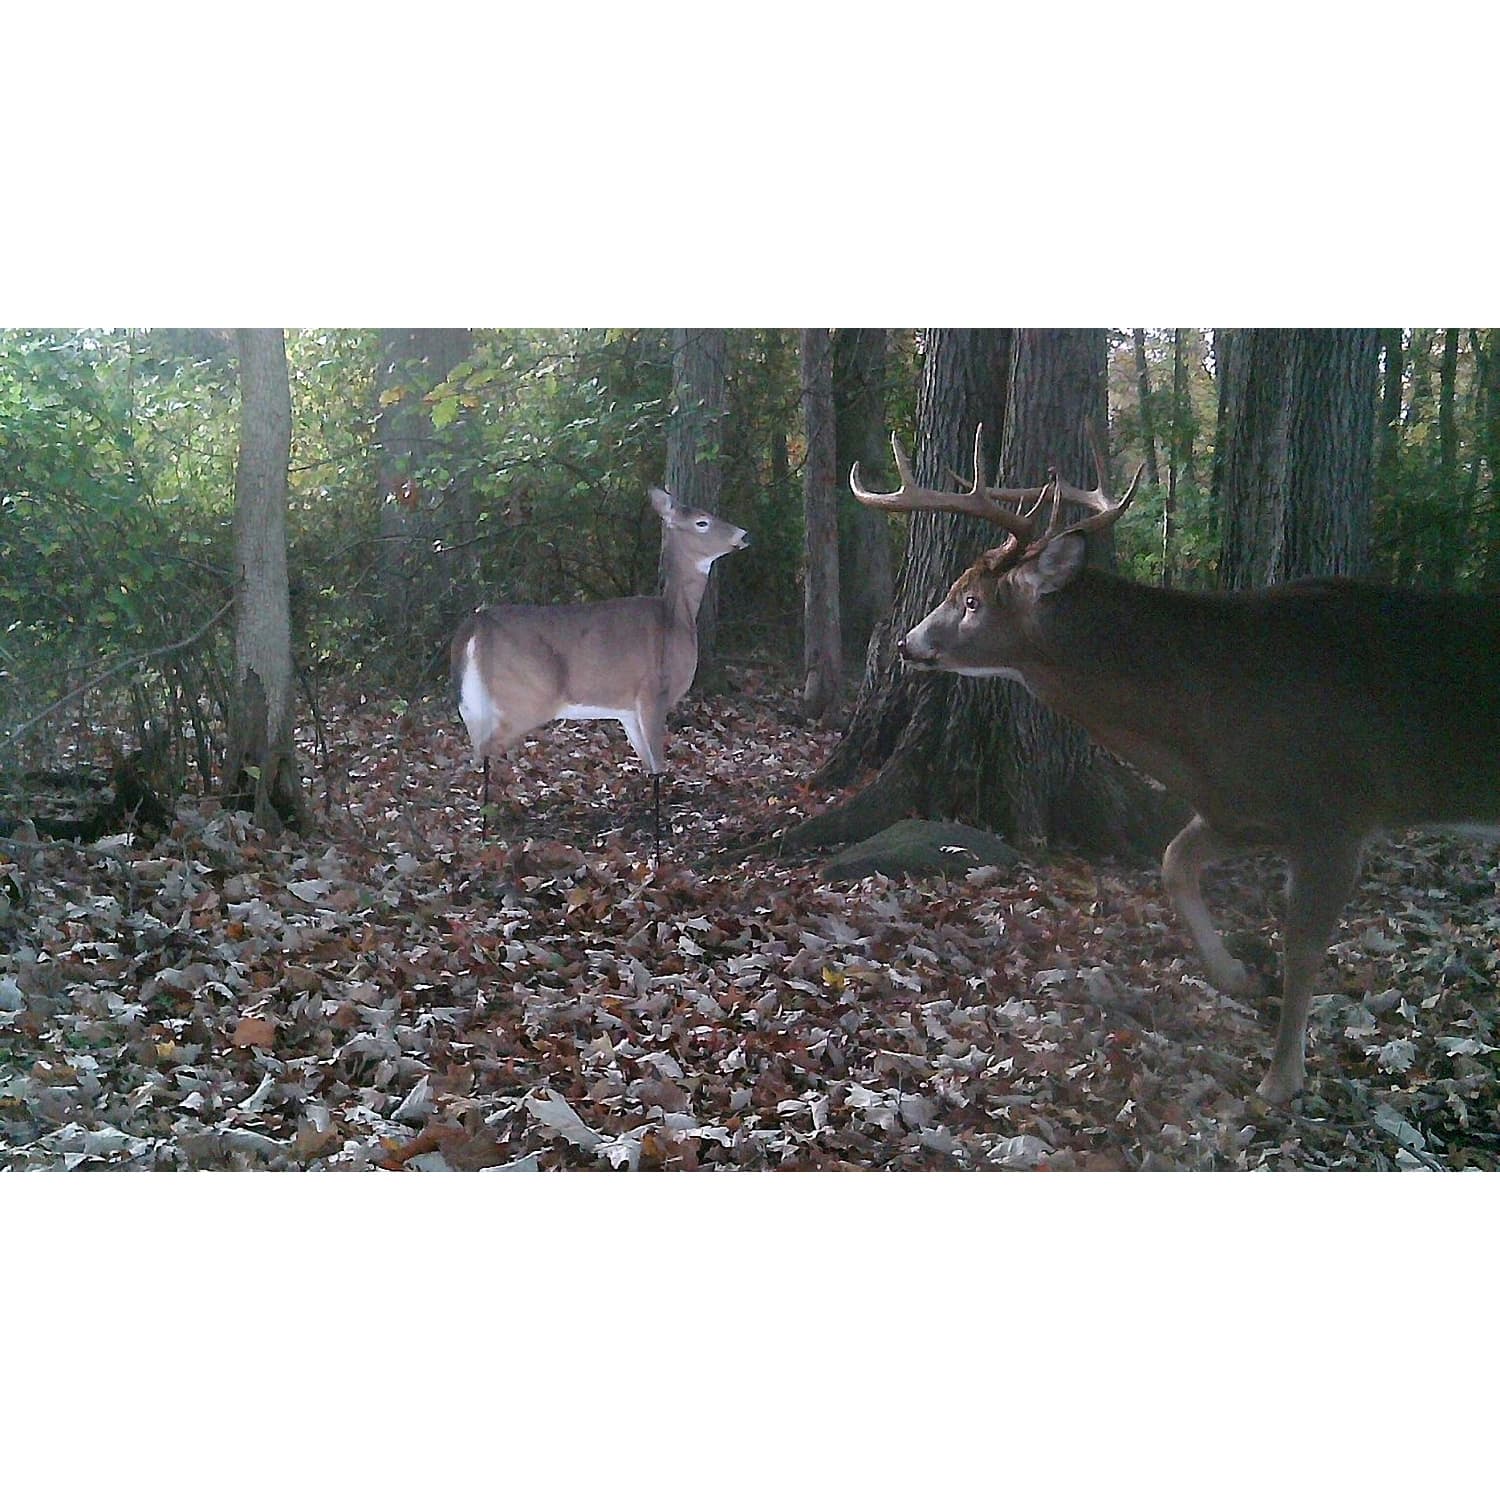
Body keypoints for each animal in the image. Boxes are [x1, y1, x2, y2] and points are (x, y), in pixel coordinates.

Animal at [451, 484, 749, 849]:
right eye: (702, 522)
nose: (743, 534)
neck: (675, 619)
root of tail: (475, 623)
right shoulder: (653, 691)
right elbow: (660, 766)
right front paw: (659, 846)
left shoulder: (627, 709)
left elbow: (649, 765)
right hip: (526, 694)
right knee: (484, 749)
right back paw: (487, 830)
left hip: (480, 701)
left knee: (477, 748)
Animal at [851, 425, 1500, 1105]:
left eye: (971, 600)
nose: (908, 643)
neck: (1212, 717)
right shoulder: (1239, 807)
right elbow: (1172, 861)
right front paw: (1236, 974)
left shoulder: (1338, 814)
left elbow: (1302, 947)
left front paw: (1279, 1079)